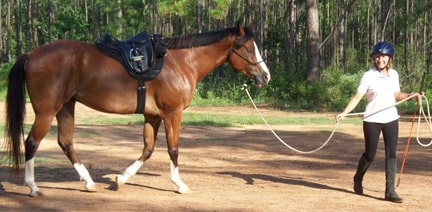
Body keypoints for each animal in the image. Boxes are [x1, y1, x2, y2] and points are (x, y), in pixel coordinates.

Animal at [4, 22, 270, 196]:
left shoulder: (153, 116)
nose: (265, 76)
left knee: (65, 142)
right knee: (32, 142)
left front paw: (121, 179)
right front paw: (179, 184)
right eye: (248, 48)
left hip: (66, 106)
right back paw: (33, 187)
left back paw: (88, 182)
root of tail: (31, 55)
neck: (181, 62)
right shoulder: (172, 114)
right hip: (47, 111)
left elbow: (148, 149)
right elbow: (173, 149)